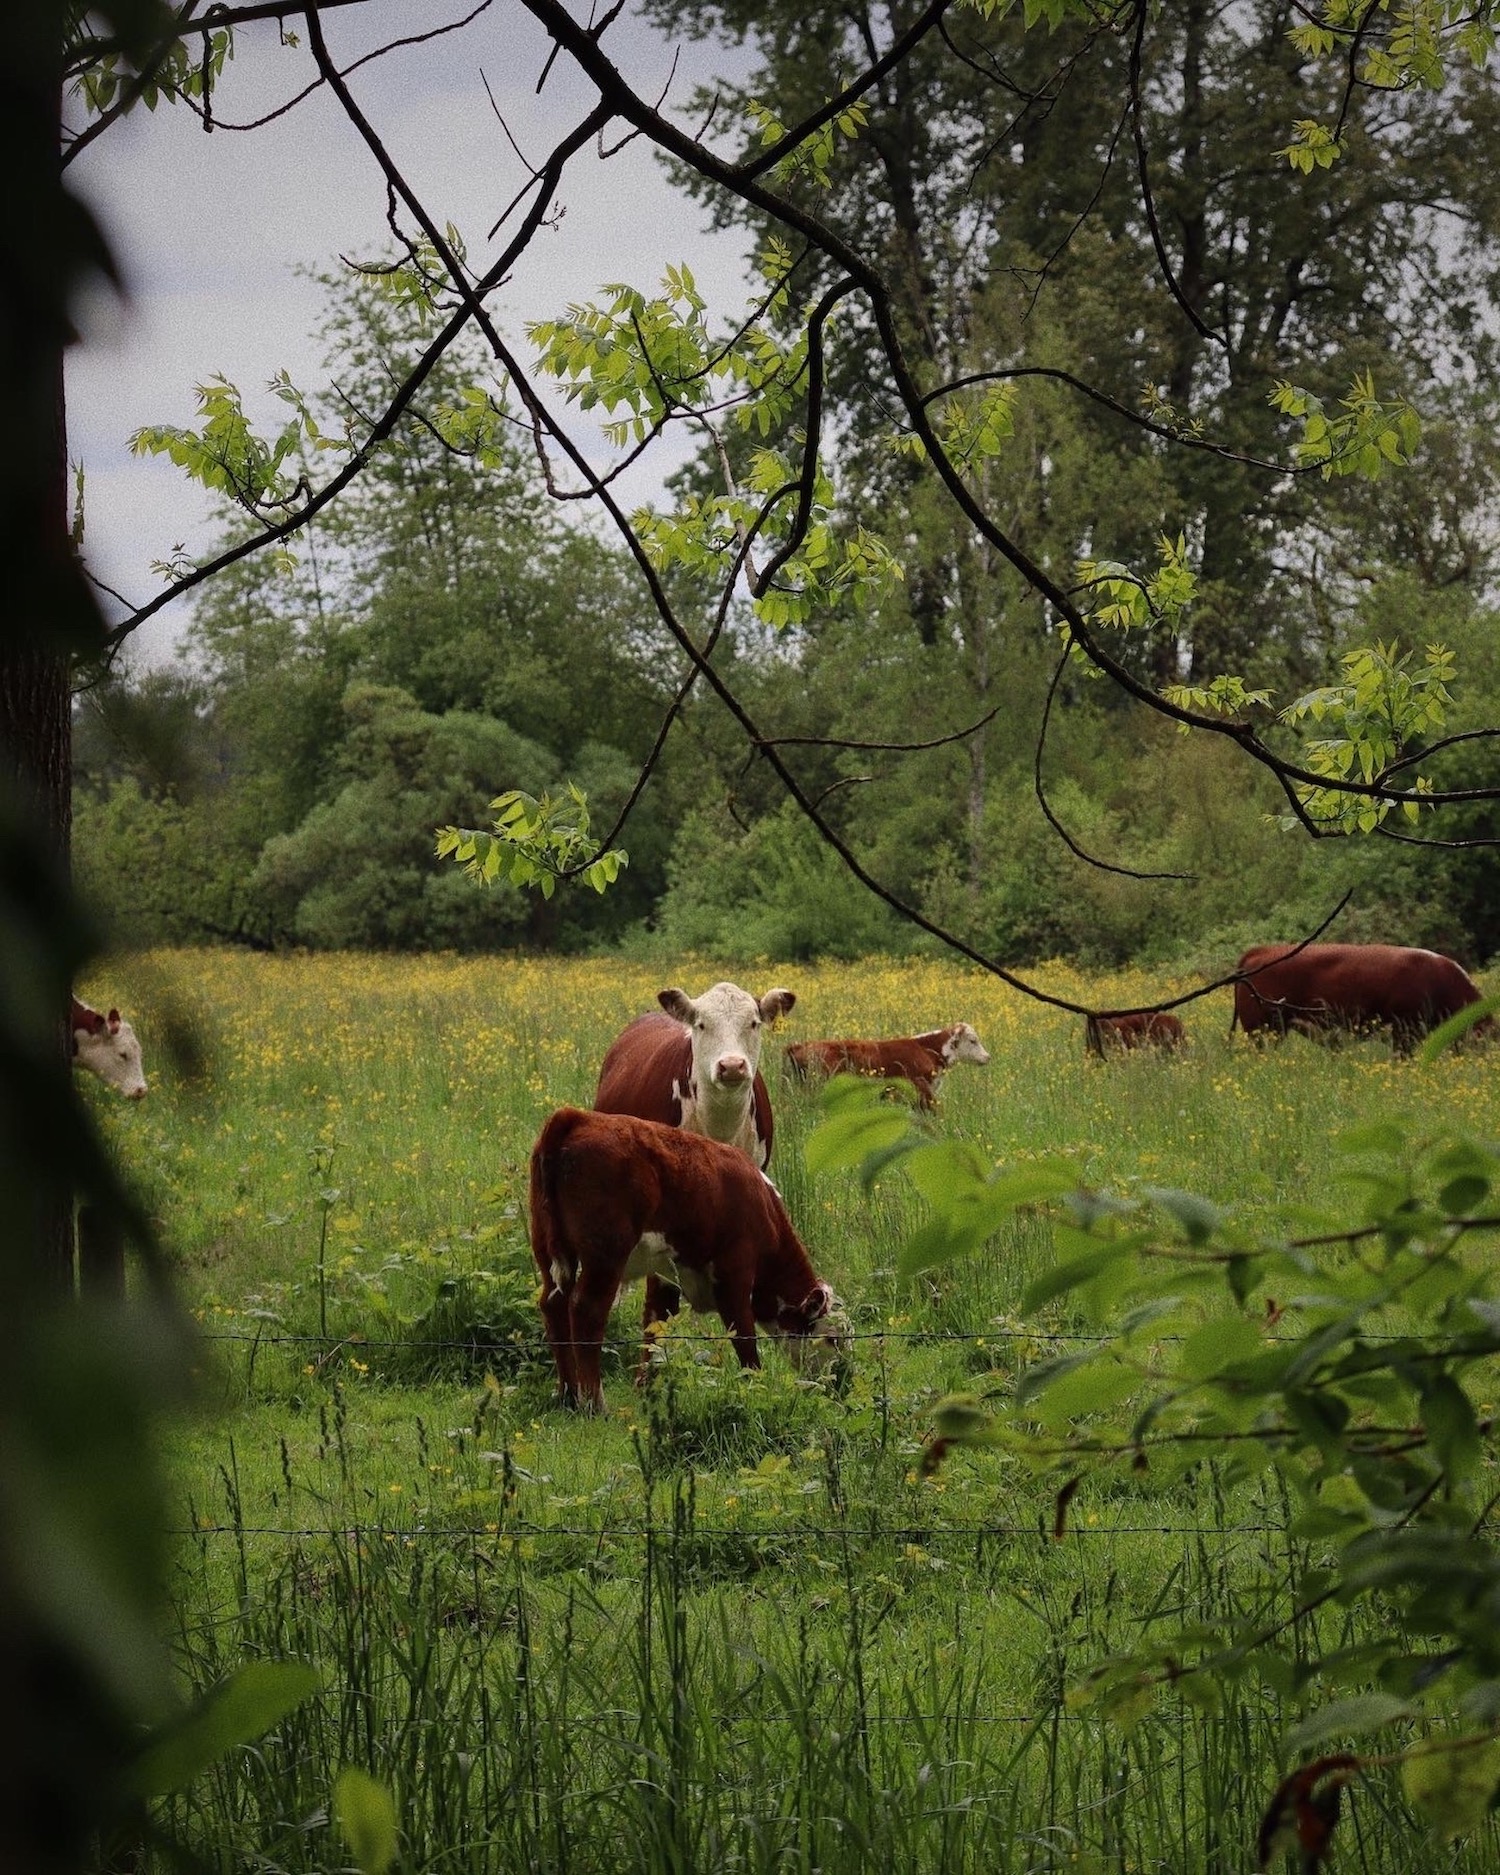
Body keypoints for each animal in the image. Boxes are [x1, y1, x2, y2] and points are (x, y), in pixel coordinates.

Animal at [528, 1107, 849, 1413]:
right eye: (833, 1338)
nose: (843, 1382)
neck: (763, 1206)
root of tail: (576, 1117)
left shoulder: (664, 1273)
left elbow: (655, 1324)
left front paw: (646, 1385)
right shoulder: (734, 1272)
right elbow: (743, 1336)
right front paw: (757, 1389)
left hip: (546, 1248)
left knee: (553, 1305)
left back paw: (569, 1395)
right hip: (606, 1254)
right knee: (587, 1310)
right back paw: (594, 1403)